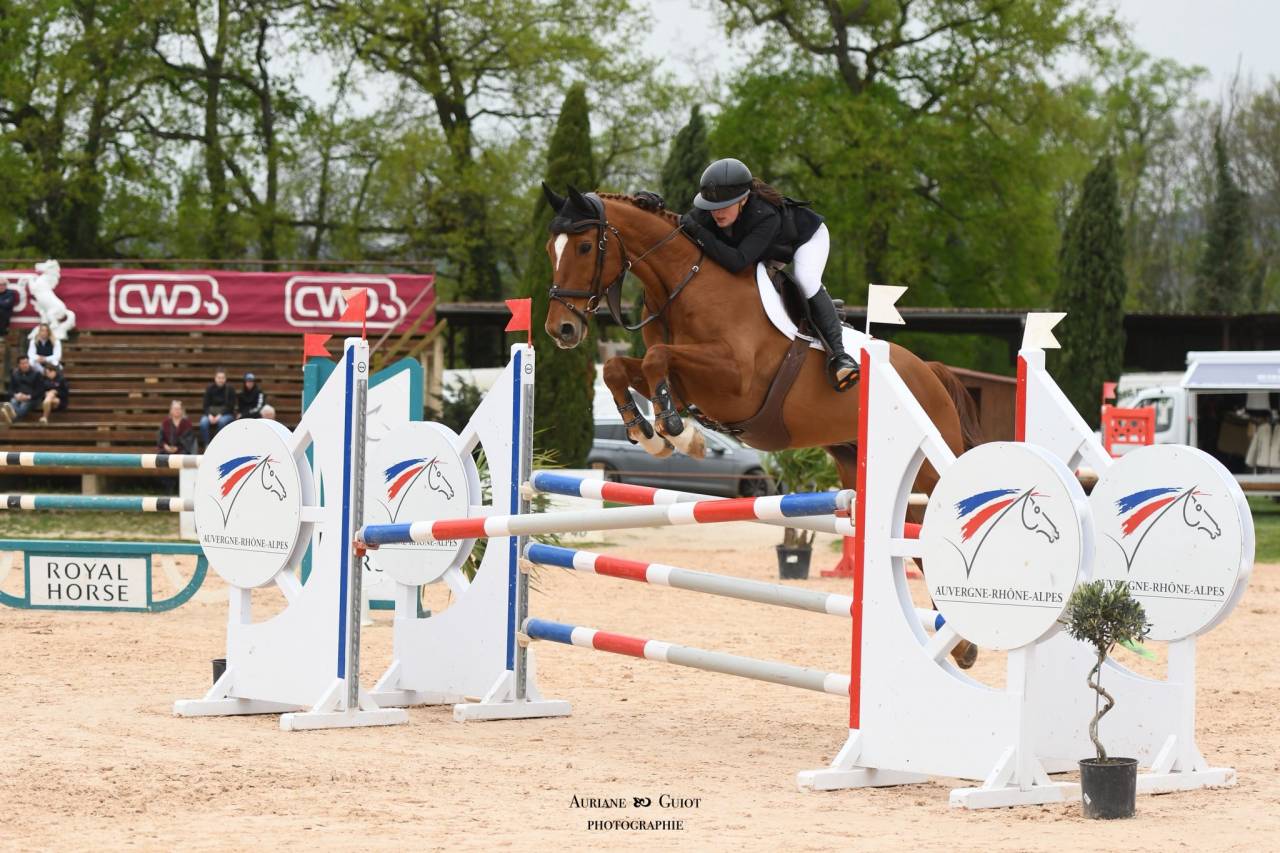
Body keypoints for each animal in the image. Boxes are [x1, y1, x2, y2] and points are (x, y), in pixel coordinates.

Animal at [539, 186, 985, 667]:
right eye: (550, 249)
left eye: (586, 246)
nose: (561, 329)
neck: (682, 286)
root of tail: (930, 372)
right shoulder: (684, 377)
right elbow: (620, 368)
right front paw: (652, 433)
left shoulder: (735, 380)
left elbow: (658, 360)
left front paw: (676, 430)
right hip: (856, 463)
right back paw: (961, 647)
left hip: (927, 469)